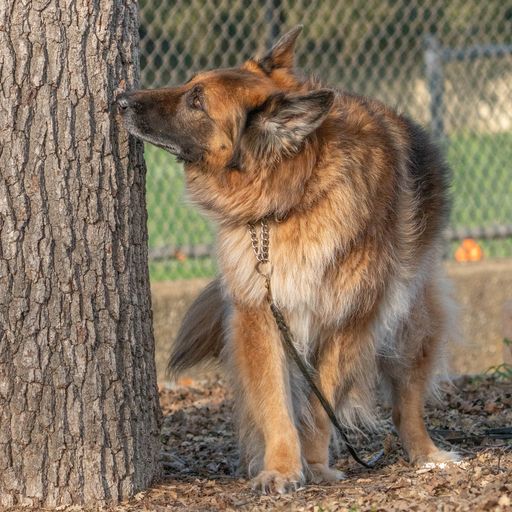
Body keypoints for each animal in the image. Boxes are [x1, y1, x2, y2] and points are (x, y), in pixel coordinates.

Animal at [118, 26, 458, 494]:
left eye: (197, 101)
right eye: (189, 84)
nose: (121, 100)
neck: (292, 194)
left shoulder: (347, 323)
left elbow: (320, 405)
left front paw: (314, 464)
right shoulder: (260, 314)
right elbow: (274, 400)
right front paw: (280, 467)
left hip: (410, 327)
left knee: (406, 404)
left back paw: (428, 455)